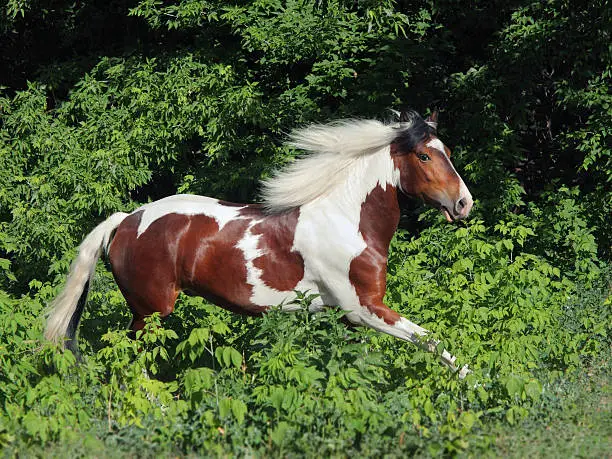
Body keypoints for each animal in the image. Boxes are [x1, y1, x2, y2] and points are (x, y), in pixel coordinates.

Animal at [45, 110, 476, 378]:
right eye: (423, 156)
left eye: (448, 152)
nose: (464, 203)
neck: (347, 221)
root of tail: (126, 220)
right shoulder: (364, 309)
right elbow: (433, 342)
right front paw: (478, 387)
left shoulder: (346, 318)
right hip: (150, 313)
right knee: (131, 361)